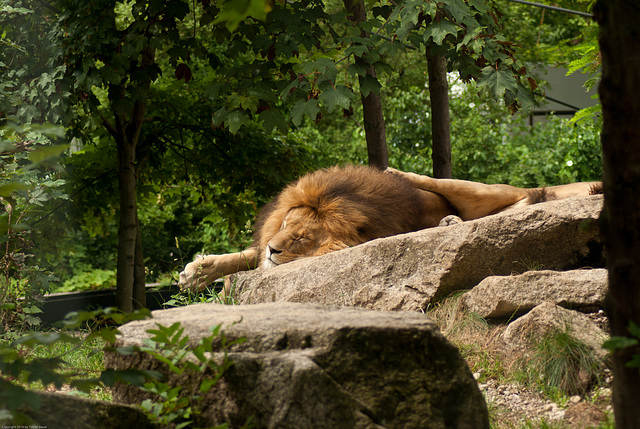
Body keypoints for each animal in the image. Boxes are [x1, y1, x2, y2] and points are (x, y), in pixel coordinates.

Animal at [178, 164, 604, 290]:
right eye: (285, 222)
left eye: (300, 239)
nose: (273, 248)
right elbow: (241, 256)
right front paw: (195, 272)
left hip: (479, 190)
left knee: (438, 183)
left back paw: (401, 174)